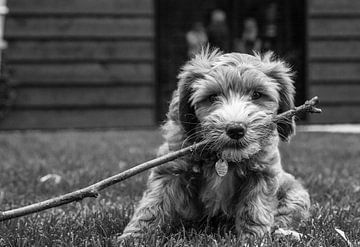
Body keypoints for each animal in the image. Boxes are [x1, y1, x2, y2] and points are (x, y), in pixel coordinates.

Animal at [120, 48, 310, 239]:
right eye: (212, 97)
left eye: (257, 94)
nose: (235, 129)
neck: (224, 157)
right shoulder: (171, 168)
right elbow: (153, 204)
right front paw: (134, 236)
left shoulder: (263, 172)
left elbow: (255, 209)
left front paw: (253, 238)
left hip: (295, 192)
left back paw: (286, 233)